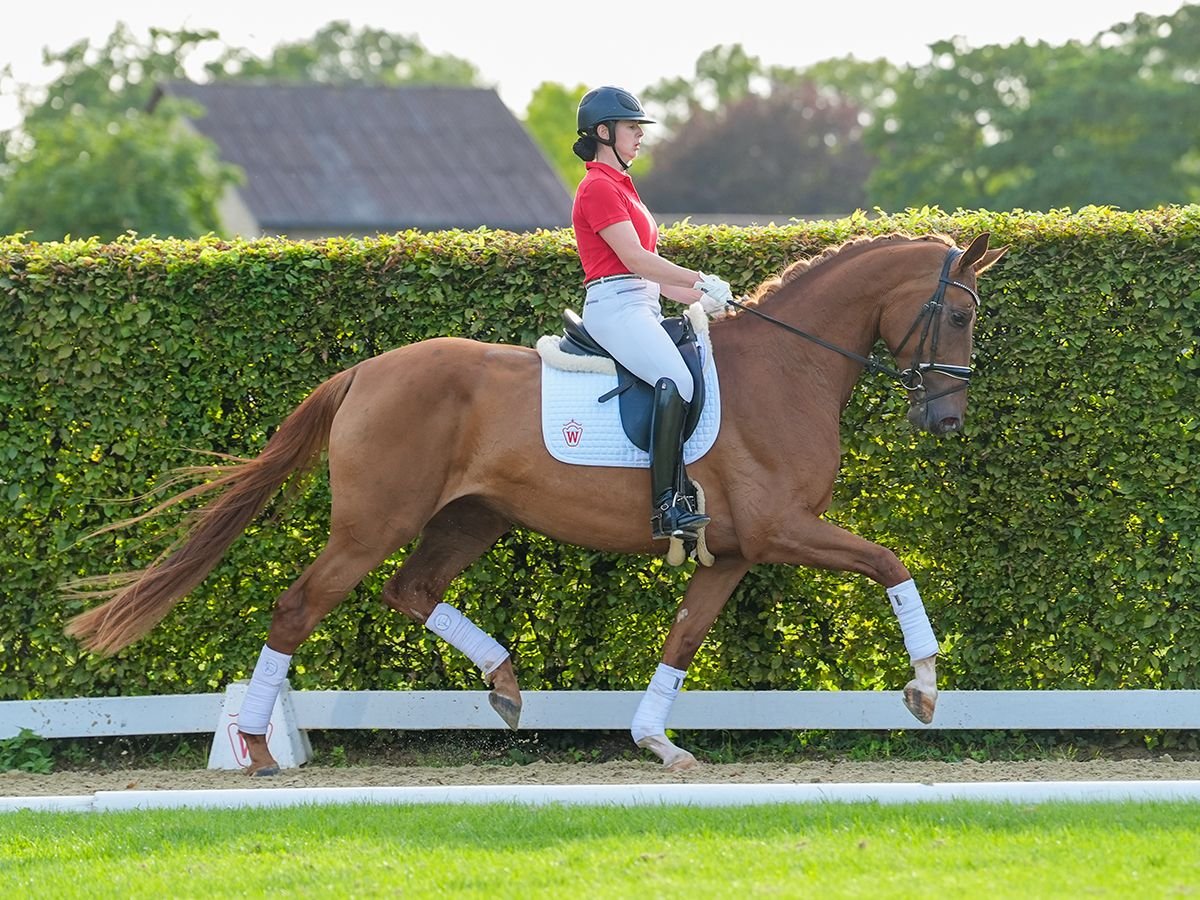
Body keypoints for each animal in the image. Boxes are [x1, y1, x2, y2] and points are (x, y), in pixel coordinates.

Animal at [65, 232, 1003, 777]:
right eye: (959, 316)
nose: (948, 421)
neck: (788, 367)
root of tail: (366, 370)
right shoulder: (784, 531)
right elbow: (892, 561)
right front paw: (924, 689)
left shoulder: (734, 550)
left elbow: (684, 637)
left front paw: (657, 740)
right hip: (374, 524)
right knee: (299, 606)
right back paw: (259, 747)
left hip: (472, 517)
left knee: (412, 590)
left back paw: (507, 683)